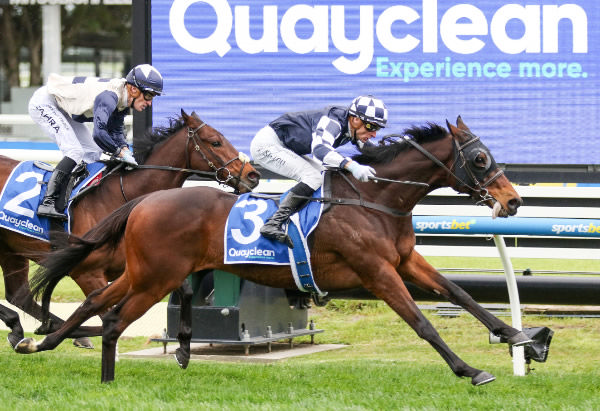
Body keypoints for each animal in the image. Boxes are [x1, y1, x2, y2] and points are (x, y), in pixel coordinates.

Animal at [0, 109, 255, 348]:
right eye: (215, 142)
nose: (252, 174)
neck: (122, 197)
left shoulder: (148, 267)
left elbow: (186, 291)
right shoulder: (87, 273)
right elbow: (105, 313)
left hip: (11, 250)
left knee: (18, 296)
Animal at [21, 116, 532, 386]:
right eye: (480, 159)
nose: (513, 201)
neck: (376, 199)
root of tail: (144, 200)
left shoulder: (405, 260)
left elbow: (460, 294)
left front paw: (519, 337)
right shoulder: (376, 271)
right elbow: (422, 323)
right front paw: (469, 369)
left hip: (145, 272)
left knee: (96, 301)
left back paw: (42, 341)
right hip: (155, 277)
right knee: (112, 320)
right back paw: (97, 372)